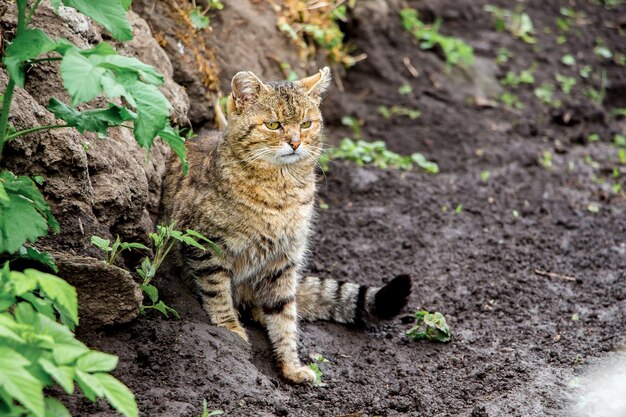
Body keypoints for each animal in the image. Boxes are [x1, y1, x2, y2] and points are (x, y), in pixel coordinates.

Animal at [161, 68, 410, 384]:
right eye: (273, 124)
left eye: (305, 124)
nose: (295, 142)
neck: (281, 191)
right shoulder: (204, 245)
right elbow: (217, 292)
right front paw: (230, 329)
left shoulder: (284, 260)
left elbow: (285, 315)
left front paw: (291, 364)